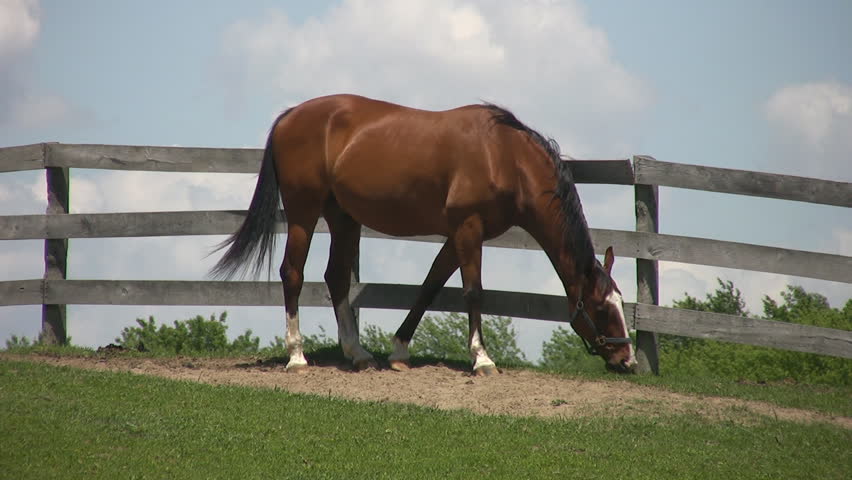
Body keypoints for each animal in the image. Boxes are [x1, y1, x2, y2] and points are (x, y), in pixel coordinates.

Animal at [211, 94, 636, 376]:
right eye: (601, 309)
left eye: (620, 304)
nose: (627, 359)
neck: (505, 155)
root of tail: (289, 116)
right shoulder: (468, 228)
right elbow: (473, 291)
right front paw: (482, 359)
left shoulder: (457, 233)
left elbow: (431, 285)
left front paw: (399, 351)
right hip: (304, 212)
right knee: (293, 274)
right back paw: (297, 356)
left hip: (343, 217)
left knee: (336, 278)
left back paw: (357, 353)